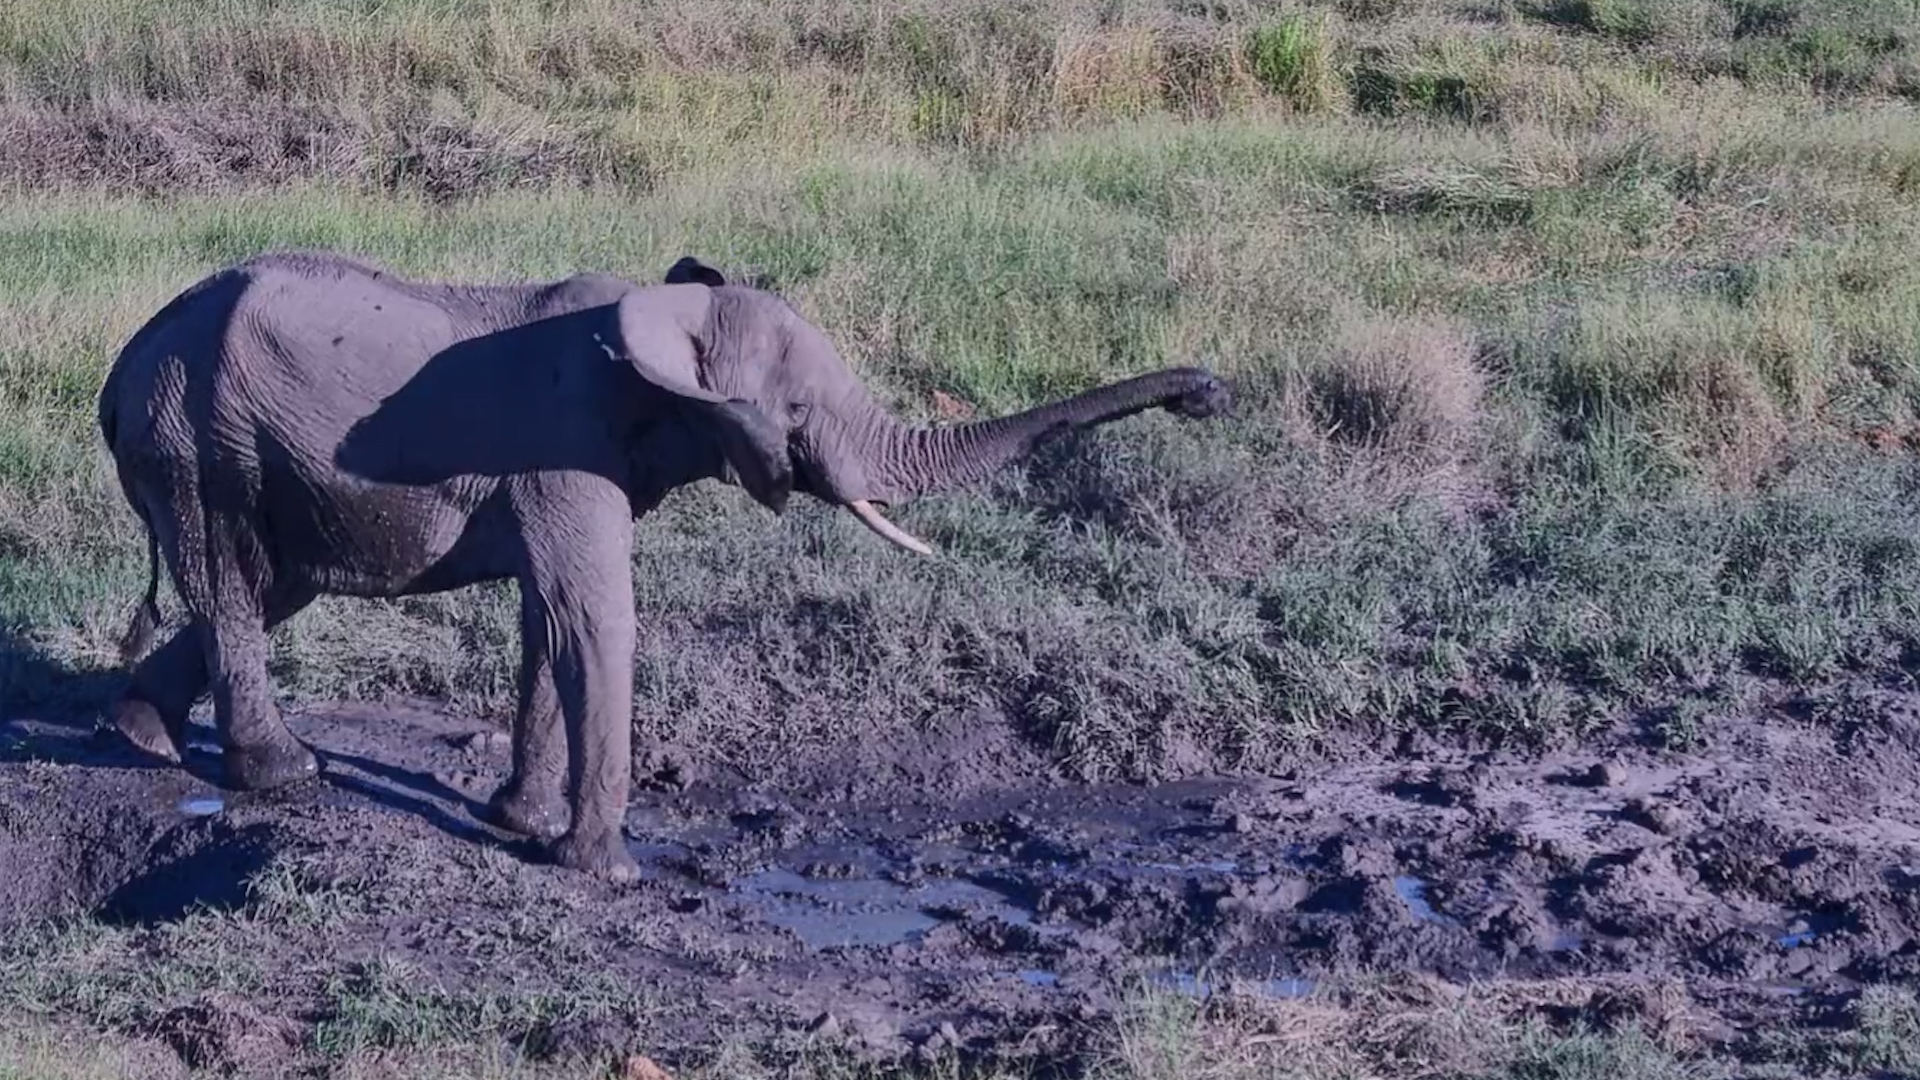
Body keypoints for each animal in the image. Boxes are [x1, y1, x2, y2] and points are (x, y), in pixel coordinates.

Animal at [95, 249, 1231, 880]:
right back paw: (284, 775)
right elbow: (590, 617)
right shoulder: (566, 447)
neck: (656, 319)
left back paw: (145, 735)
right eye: (799, 412)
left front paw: (515, 823)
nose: (1206, 395)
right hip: (202, 441)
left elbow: (545, 623)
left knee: (263, 591)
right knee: (236, 583)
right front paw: (604, 872)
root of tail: (124, 365)